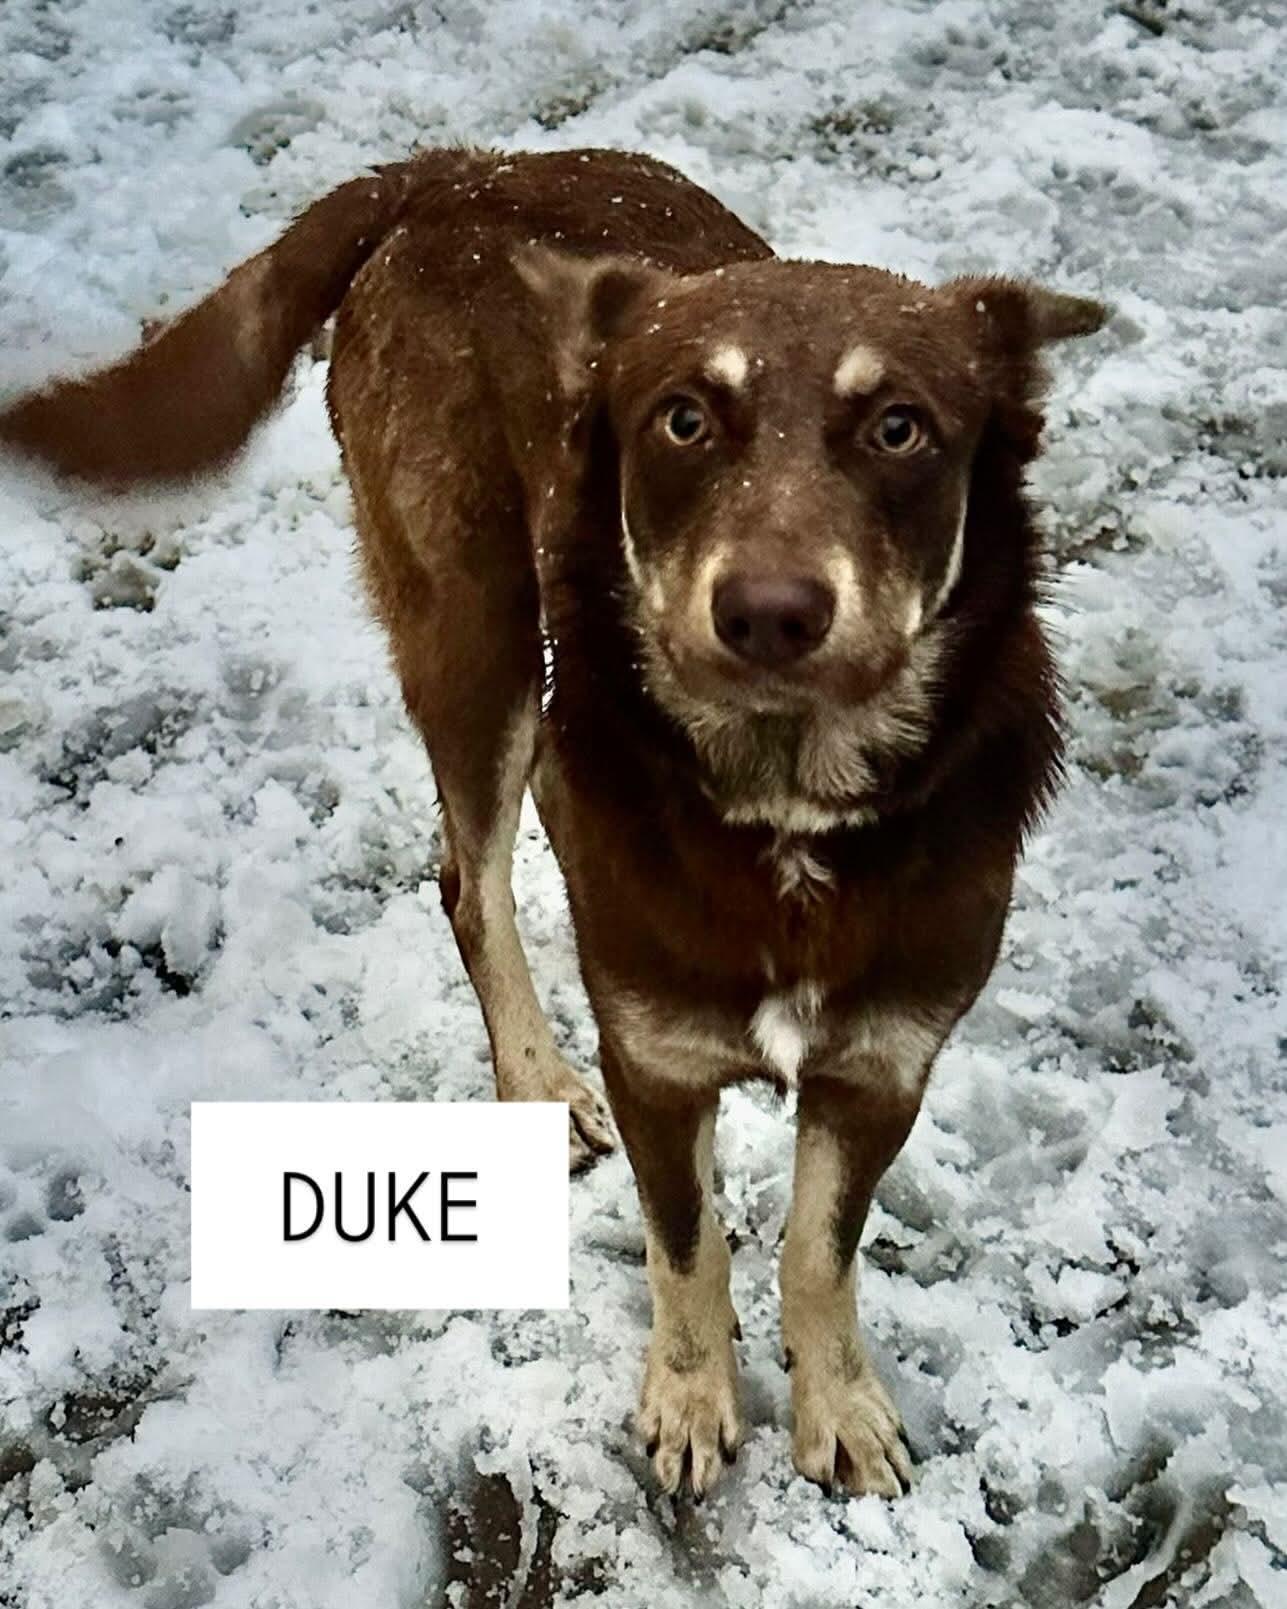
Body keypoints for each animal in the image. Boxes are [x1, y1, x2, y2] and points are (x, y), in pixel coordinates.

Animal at [0, 145, 1105, 1501]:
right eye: (683, 419)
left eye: (901, 427)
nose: (769, 612)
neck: (783, 810)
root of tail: (458, 168)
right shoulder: (654, 1065)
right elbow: (690, 1245)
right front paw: (690, 1398)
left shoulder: (884, 1067)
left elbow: (816, 1247)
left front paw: (838, 1402)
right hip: (474, 631)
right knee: (470, 876)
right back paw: (532, 1076)